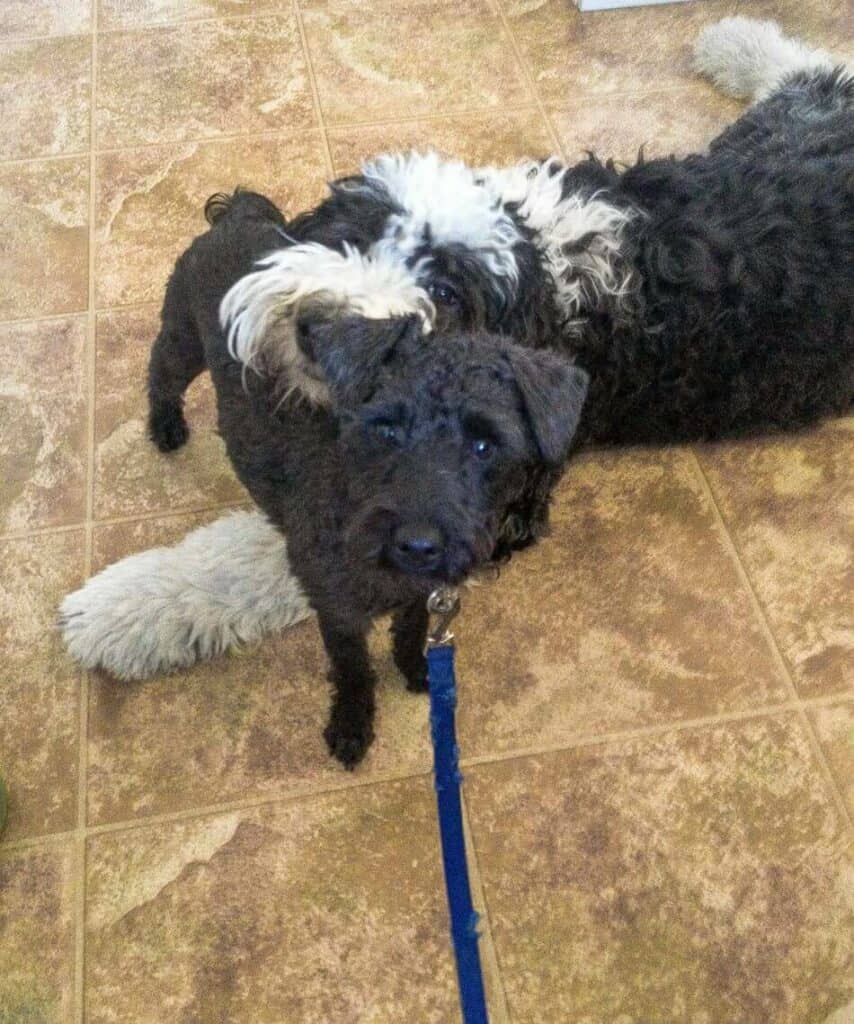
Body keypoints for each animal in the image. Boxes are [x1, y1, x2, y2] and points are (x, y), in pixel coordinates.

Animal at [63, 16, 847, 684]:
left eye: (443, 293)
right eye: (354, 235)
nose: (314, 326)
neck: (549, 271)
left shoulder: (487, 499)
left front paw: (120, 612)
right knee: (810, 67)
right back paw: (736, 41)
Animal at [148, 195, 585, 765]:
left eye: (485, 444)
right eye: (386, 428)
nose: (419, 543)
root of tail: (238, 213)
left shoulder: (422, 594)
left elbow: (412, 630)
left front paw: (418, 670)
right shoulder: (337, 610)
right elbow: (353, 669)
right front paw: (352, 724)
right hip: (180, 337)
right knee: (160, 375)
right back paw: (164, 427)